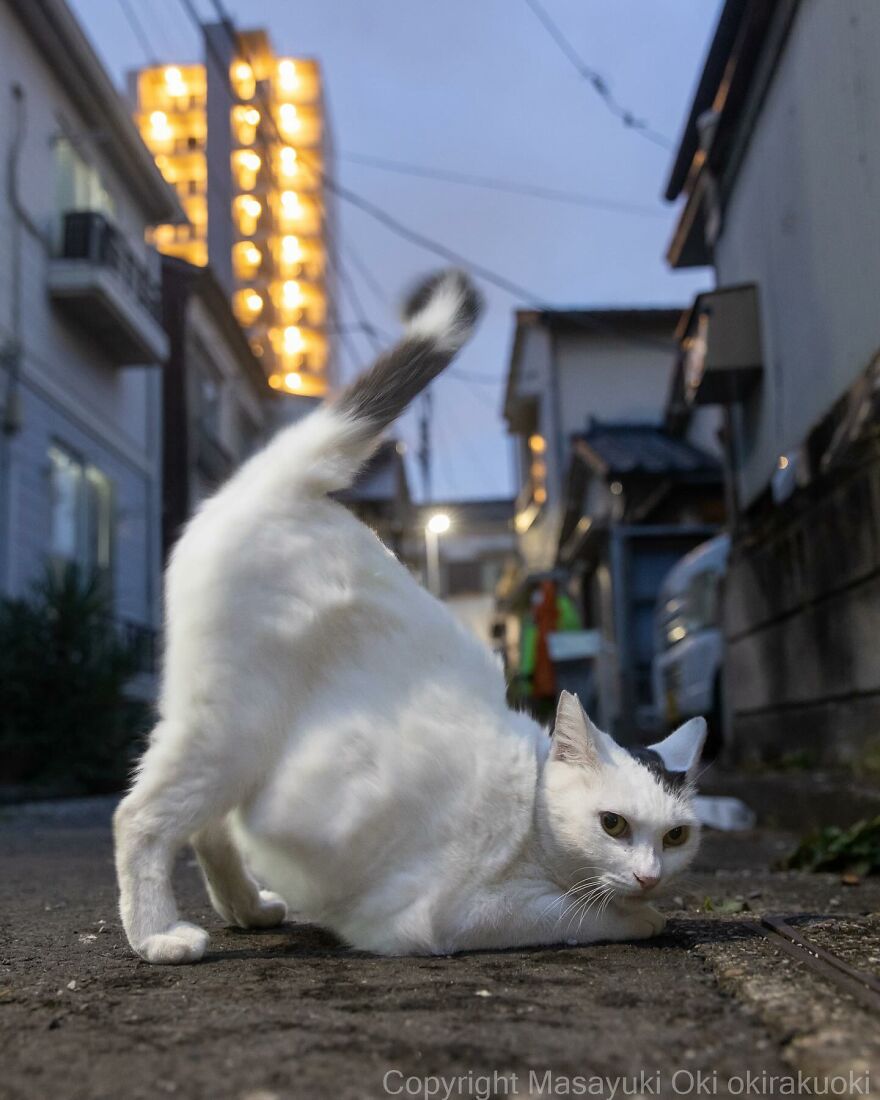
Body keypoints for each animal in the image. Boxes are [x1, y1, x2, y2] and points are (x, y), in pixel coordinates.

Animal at [116, 268, 708, 963]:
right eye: (612, 824)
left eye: (676, 836)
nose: (650, 875)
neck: (531, 810)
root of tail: (284, 486)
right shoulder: (455, 916)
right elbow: (584, 915)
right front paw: (643, 916)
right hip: (230, 727)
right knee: (140, 816)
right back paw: (155, 933)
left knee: (210, 829)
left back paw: (247, 908)